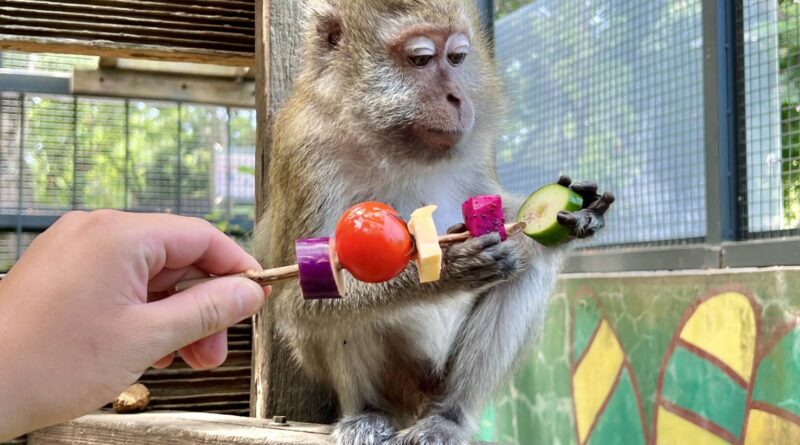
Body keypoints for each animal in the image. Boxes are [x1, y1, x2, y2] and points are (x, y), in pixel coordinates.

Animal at [253, 1, 616, 442]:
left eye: (457, 58)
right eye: (421, 59)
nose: (458, 97)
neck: (384, 138)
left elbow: (508, 222)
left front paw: (577, 213)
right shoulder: (304, 149)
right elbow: (300, 297)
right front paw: (448, 270)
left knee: (529, 267)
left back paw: (448, 416)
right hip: (397, 375)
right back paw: (365, 414)